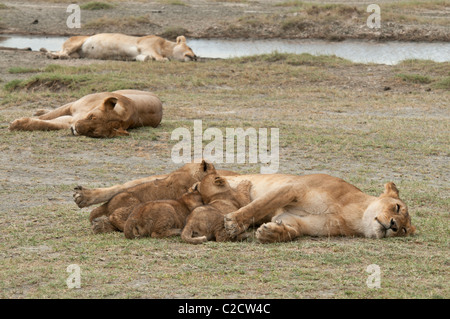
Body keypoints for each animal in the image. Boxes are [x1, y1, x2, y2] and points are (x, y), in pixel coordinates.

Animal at [8, 89, 163, 138]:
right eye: (91, 117)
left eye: (94, 133)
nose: (75, 129)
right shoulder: (72, 107)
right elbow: (46, 117)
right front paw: (16, 123)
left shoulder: (68, 122)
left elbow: (45, 124)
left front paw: (18, 125)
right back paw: (39, 110)